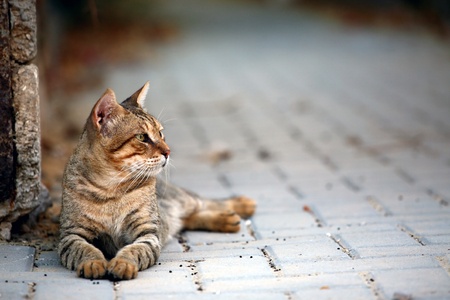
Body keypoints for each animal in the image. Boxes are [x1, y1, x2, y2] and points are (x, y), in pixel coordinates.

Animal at [59, 82, 256, 282]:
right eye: (141, 137)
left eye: (161, 133)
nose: (168, 151)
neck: (110, 189)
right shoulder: (71, 234)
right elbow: (83, 249)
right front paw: (92, 262)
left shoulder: (147, 232)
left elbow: (135, 249)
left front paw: (123, 263)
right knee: (186, 219)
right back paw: (225, 219)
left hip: (182, 200)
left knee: (206, 202)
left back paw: (240, 205)